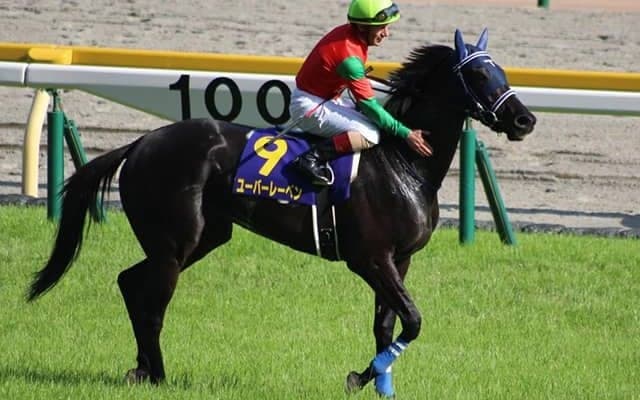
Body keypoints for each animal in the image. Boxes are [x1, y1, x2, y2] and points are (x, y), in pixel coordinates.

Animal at [27, 29, 536, 398]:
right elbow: (412, 320)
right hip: (175, 242)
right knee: (152, 303)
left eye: (500, 70)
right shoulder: (371, 259)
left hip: (204, 237)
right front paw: (359, 377)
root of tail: (139, 143)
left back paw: (141, 370)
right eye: (480, 77)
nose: (525, 119)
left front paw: (378, 384)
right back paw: (160, 375)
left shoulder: (400, 259)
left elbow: (386, 324)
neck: (402, 162)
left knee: (130, 282)